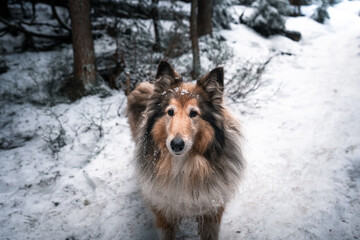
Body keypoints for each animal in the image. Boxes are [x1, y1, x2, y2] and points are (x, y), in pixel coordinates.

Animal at [126, 61, 245, 239]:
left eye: (194, 113)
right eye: (170, 112)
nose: (176, 144)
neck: (183, 166)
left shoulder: (212, 212)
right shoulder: (163, 213)